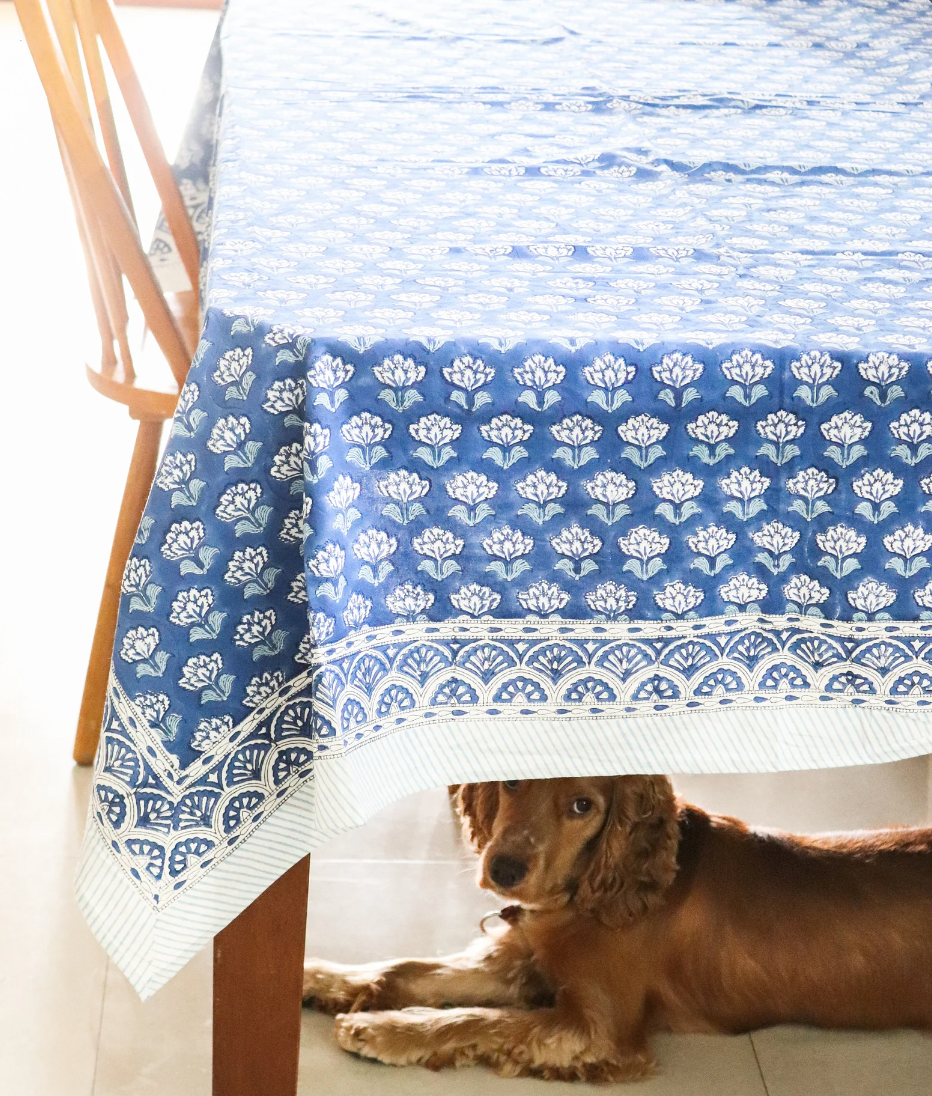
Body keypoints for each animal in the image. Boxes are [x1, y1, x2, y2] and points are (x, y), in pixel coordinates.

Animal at [302, 775, 929, 1082]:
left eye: (583, 806)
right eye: (513, 783)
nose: (504, 870)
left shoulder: (598, 1026)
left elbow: (483, 1020)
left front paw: (383, 1029)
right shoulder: (525, 964)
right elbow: (408, 966)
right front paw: (319, 978)